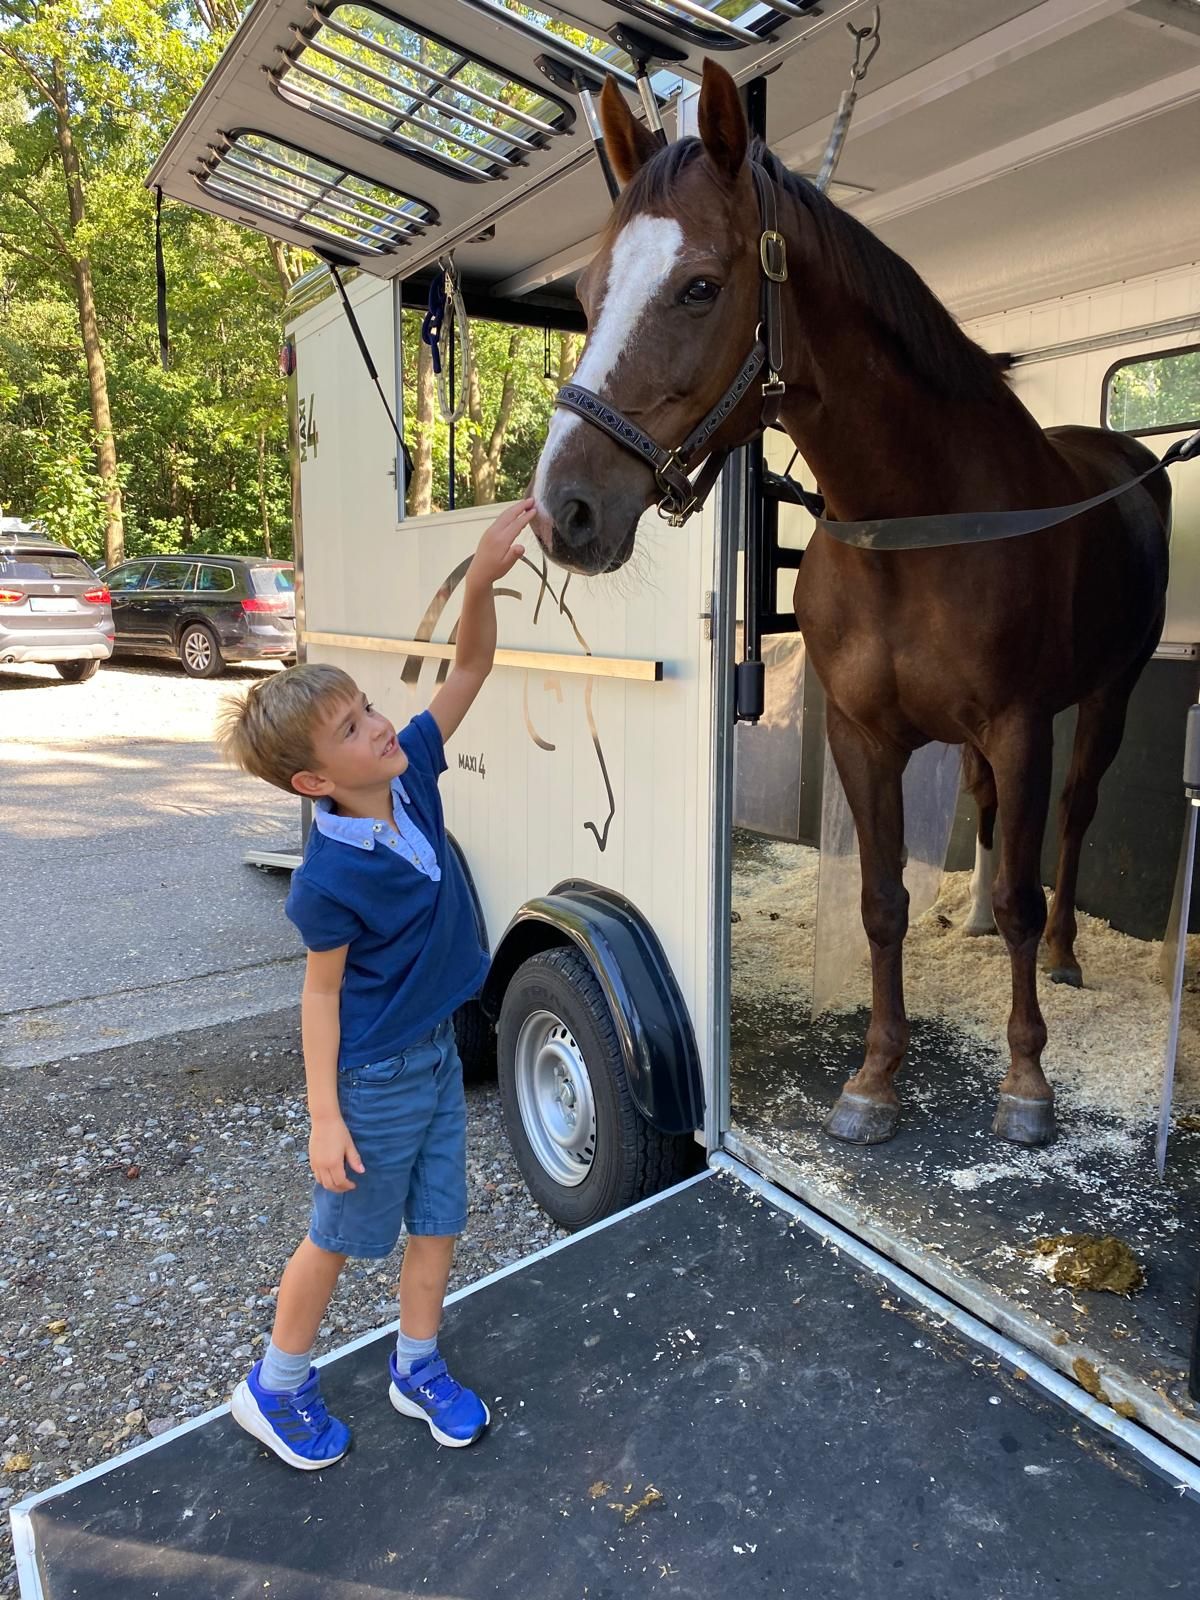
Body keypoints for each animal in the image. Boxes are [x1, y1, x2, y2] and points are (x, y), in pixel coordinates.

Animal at [530, 60, 1171, 1149]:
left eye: (700, 286)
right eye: (584, 292)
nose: (563, 509)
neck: (915, 522)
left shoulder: (1021, 723)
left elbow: (1022, 890)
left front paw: (1026, 1084)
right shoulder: (863, 734)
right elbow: (881, 902)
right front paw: (874, 1080)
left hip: (1109, 696)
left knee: (1073, 820)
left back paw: (1064, 953)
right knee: (987, 813)